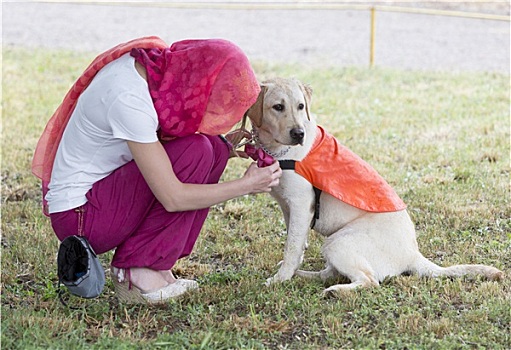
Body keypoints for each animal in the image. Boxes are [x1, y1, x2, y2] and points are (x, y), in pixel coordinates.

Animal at [247, 78, 504, 294]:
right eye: (278, 107)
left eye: (301, 106)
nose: (298, 133)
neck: (278, 151)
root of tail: (413, 254)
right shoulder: (288, 206)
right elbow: (296, 242)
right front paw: (290, 272)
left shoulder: (301, 205)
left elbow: (292, 247)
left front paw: (280, 278)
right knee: (330, 274)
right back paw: (305, 276)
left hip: (338, 242)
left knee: (369, 281)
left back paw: (336, 292)